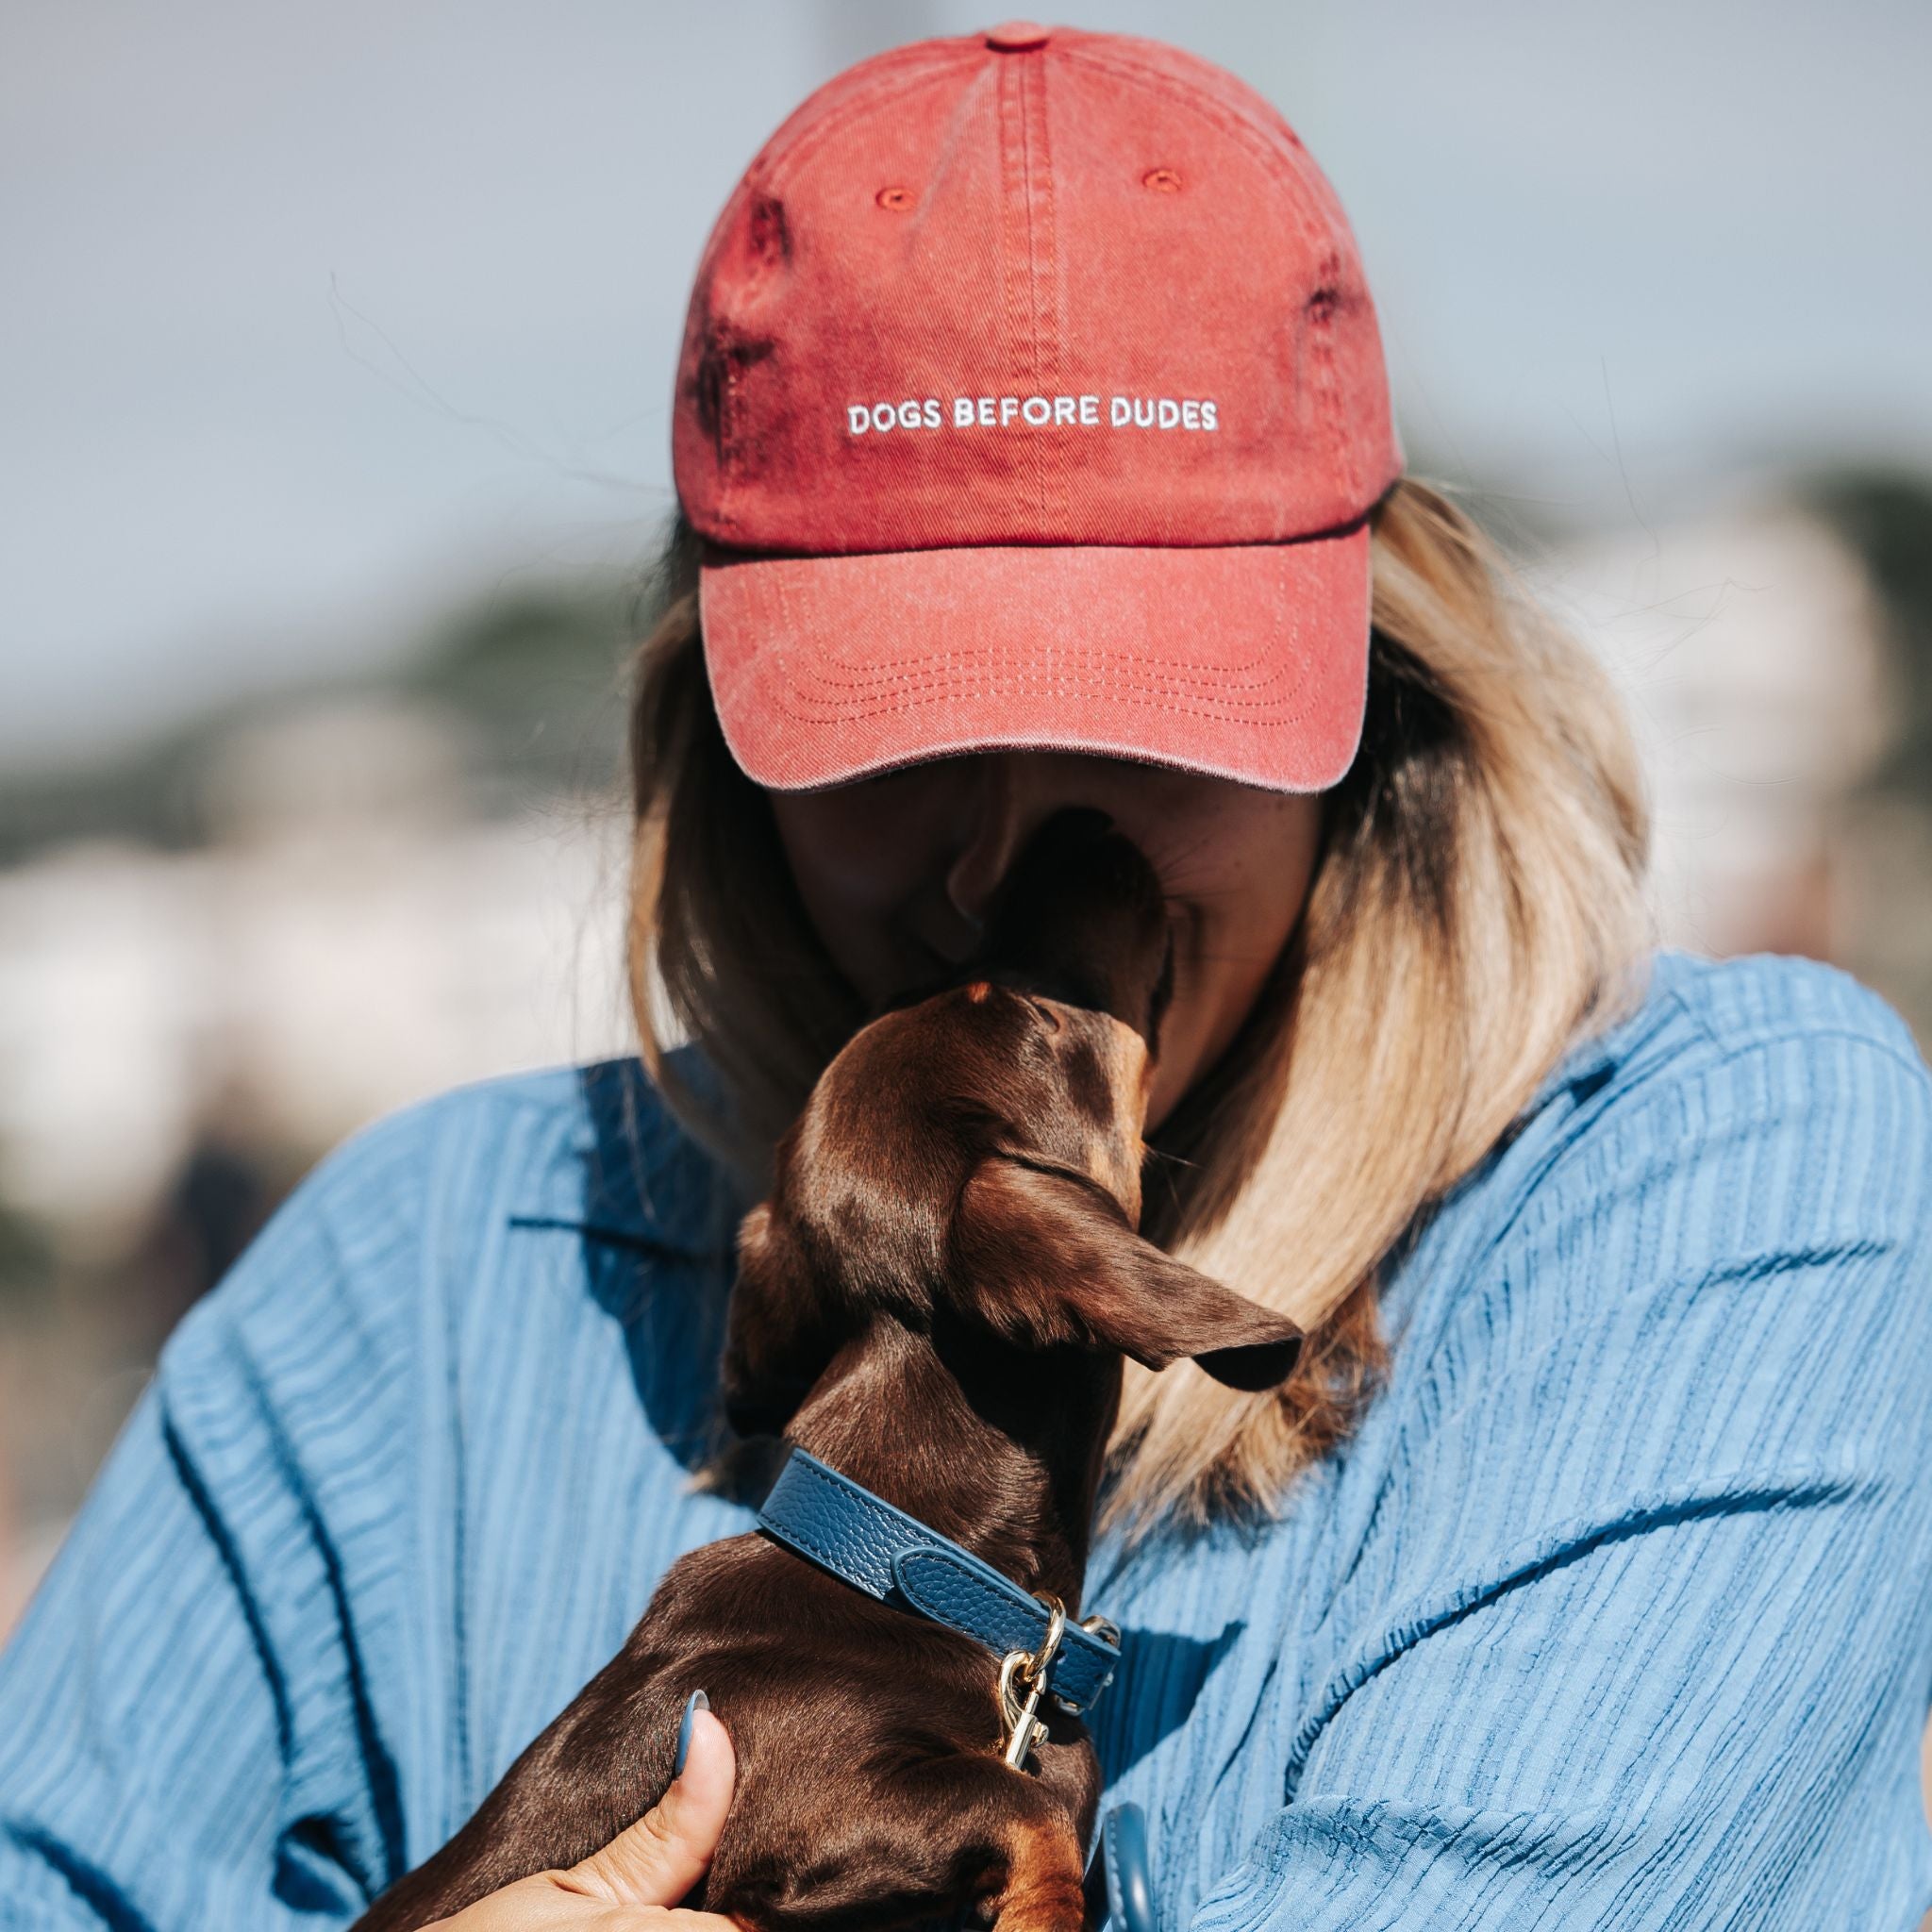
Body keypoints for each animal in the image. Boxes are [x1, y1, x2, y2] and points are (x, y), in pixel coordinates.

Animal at [355, 815, 1306, 1932]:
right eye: (1025, 1010)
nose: (1077, 824)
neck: (916, 1569)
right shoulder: (796, 1813)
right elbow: (1022, 1801)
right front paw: (1048, 1907)